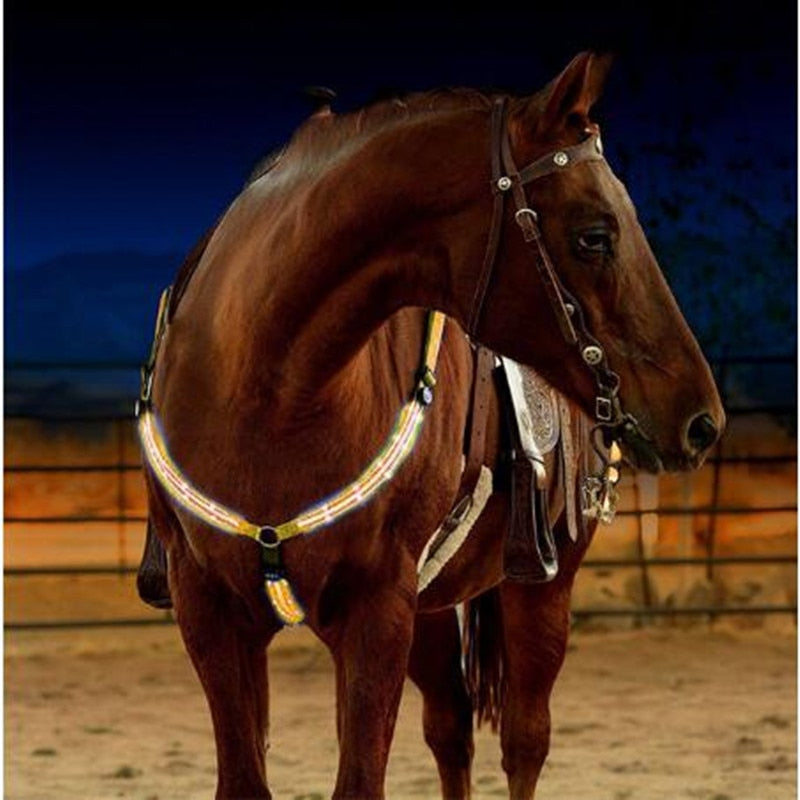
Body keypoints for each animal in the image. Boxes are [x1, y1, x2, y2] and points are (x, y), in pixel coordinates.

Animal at [137, 51, 724, 799]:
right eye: (595, 235)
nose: (702, 420)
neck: (267, 392)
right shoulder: (211, 611)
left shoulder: (377, 611)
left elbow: (362, 779)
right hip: (433, 610)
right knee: (451, 729)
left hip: (540, 588)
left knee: (524, 740)